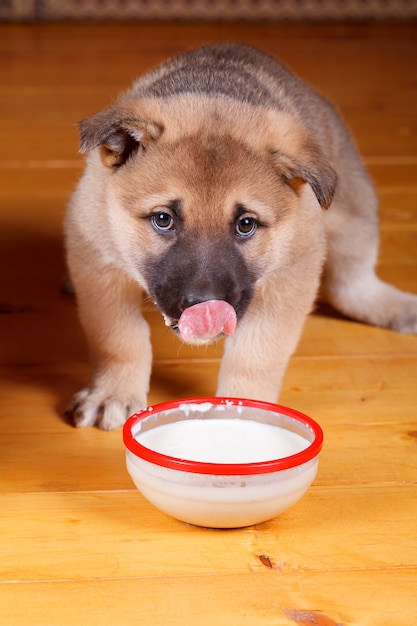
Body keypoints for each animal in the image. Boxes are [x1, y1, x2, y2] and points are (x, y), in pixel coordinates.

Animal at [64, 41, 416, 426]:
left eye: (246, 224)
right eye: (163, 219)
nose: (205, 308)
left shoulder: (288, 278)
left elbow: (254, 357)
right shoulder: (99, 259)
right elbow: (119, 338)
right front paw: (112, 392)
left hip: (354, 215)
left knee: (352, 284)